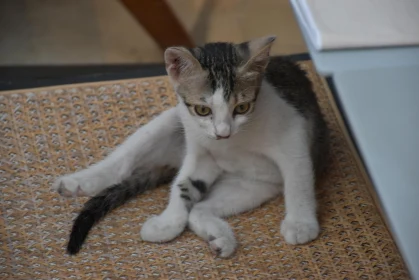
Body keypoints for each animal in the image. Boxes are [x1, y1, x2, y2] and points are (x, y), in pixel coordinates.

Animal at [53, 36, 328, 258]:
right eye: (202, 110)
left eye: (242, 107)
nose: (222, 133)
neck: (234, 142)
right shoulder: (200, 150)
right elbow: (183, 184)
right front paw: (168, 223)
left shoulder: (293, 133)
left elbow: (298, 183)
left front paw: (301, 224)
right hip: (171, 120)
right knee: (123, 163)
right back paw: (79, 183)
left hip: (253, 185)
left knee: (200, 208)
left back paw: (219, 238)